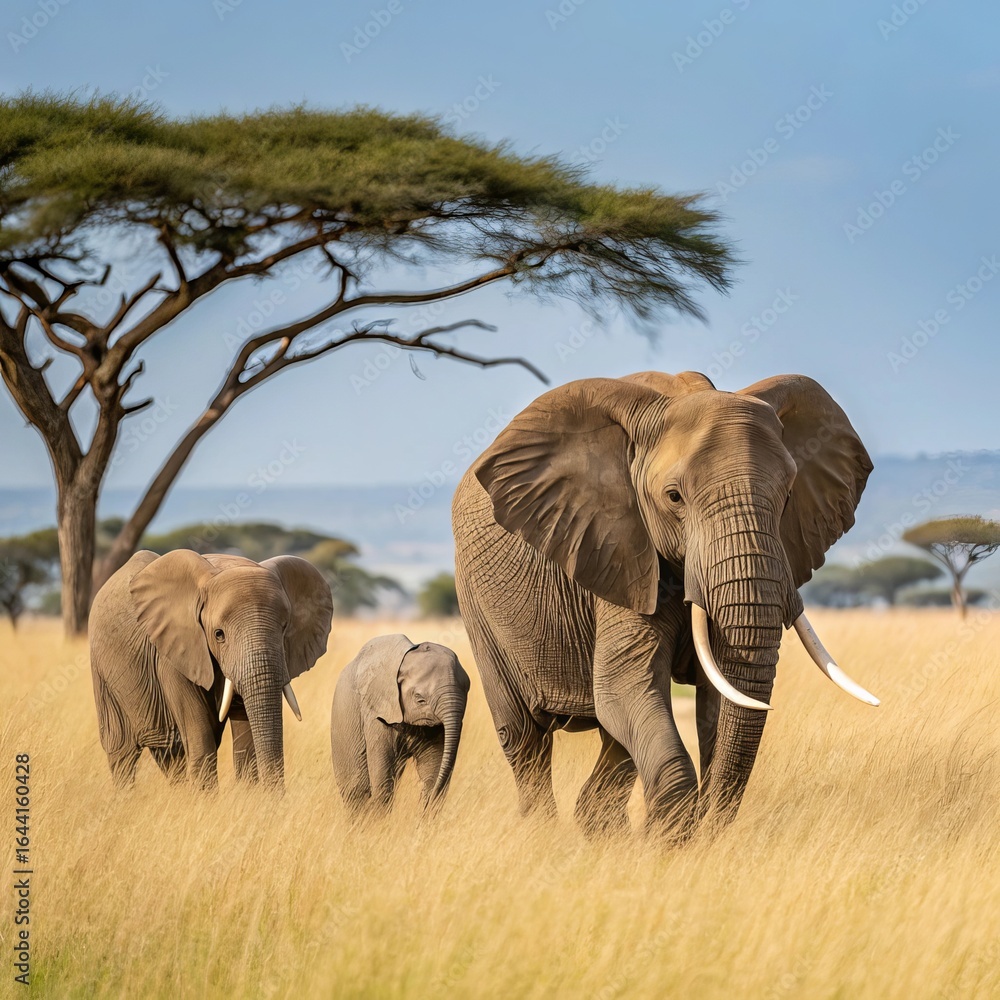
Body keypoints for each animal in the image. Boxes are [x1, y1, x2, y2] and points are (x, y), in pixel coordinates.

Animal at [89, 548, 333, 789]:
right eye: (219, 634)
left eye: (284, 628)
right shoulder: (174, 652)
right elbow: (200, 735)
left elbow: (245, 740)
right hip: (103, 675)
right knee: (122, 753)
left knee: (169, 755)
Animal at [330, 634, 470, 814]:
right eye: (419, 699)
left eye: (467, 693)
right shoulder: (376, 711)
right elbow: (382, 773)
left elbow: (433, 767)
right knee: (355, 789)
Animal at [452, 370, 879, 839]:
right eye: (674, 497)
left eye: (788, 497)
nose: (709, 829)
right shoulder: (617, 548)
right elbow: (624, 686)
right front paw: (669, 837)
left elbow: (713, 694)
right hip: (477, 602)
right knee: (523, 736)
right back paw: (543, 834)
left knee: (612, 737)